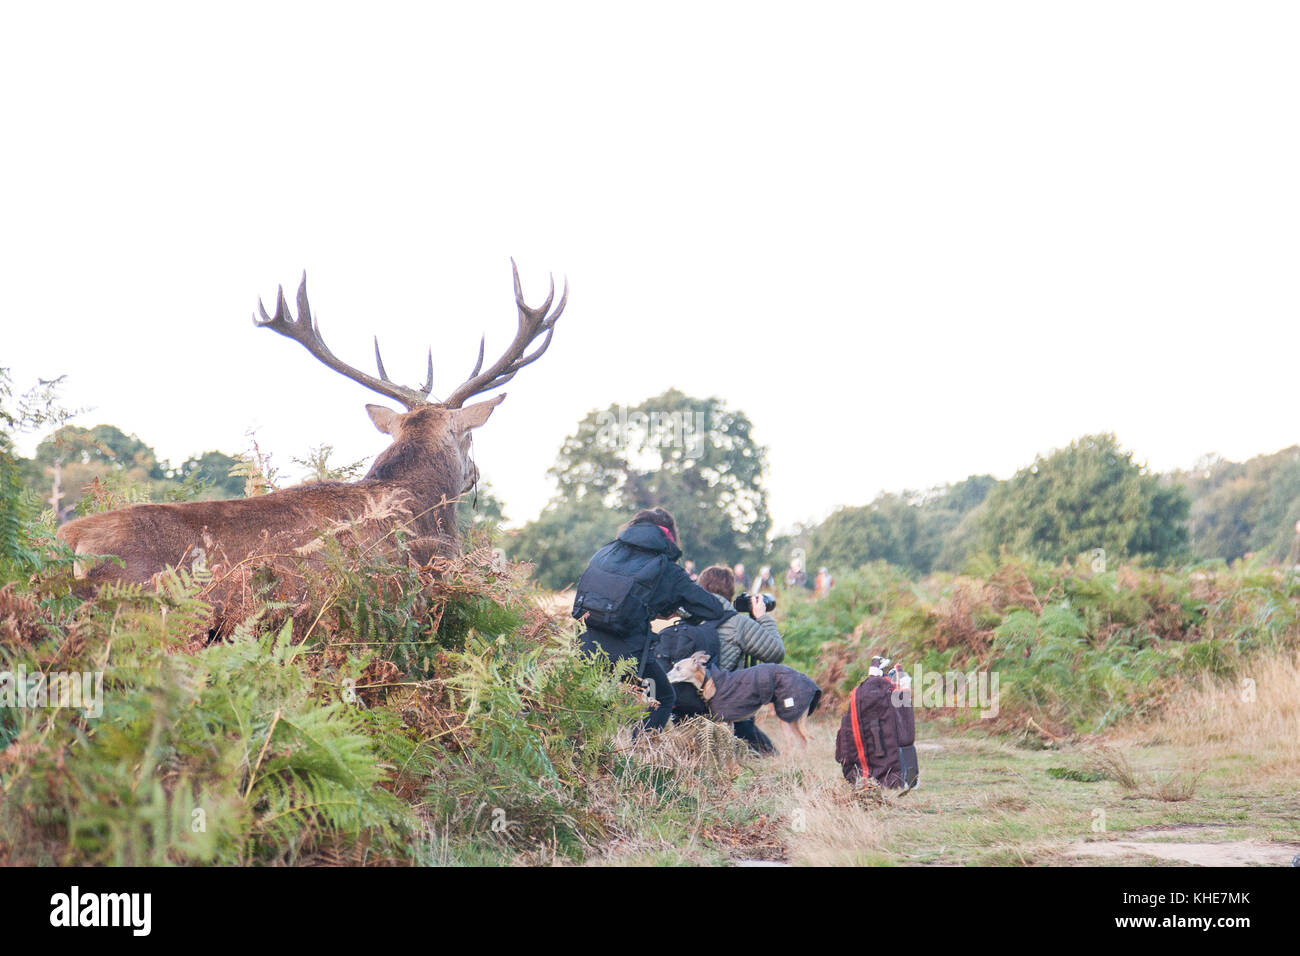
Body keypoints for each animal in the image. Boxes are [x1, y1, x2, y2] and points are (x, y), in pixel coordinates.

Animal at [665, 655, 816, 749]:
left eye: (678, 668)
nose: (665, 676)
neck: (709, 680)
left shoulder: (722, 721)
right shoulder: (729, 723)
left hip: (786, 719)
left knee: (793, 743)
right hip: (794, 719)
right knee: (803, 742)